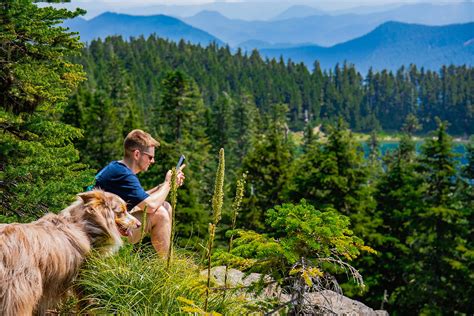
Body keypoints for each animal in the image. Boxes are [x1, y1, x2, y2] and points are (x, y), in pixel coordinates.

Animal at [0, 189, 141, 314]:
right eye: (121, 211)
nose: (139, 224)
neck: (86, 226)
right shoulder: (83, 276)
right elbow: (86, 301)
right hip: (21, 292)